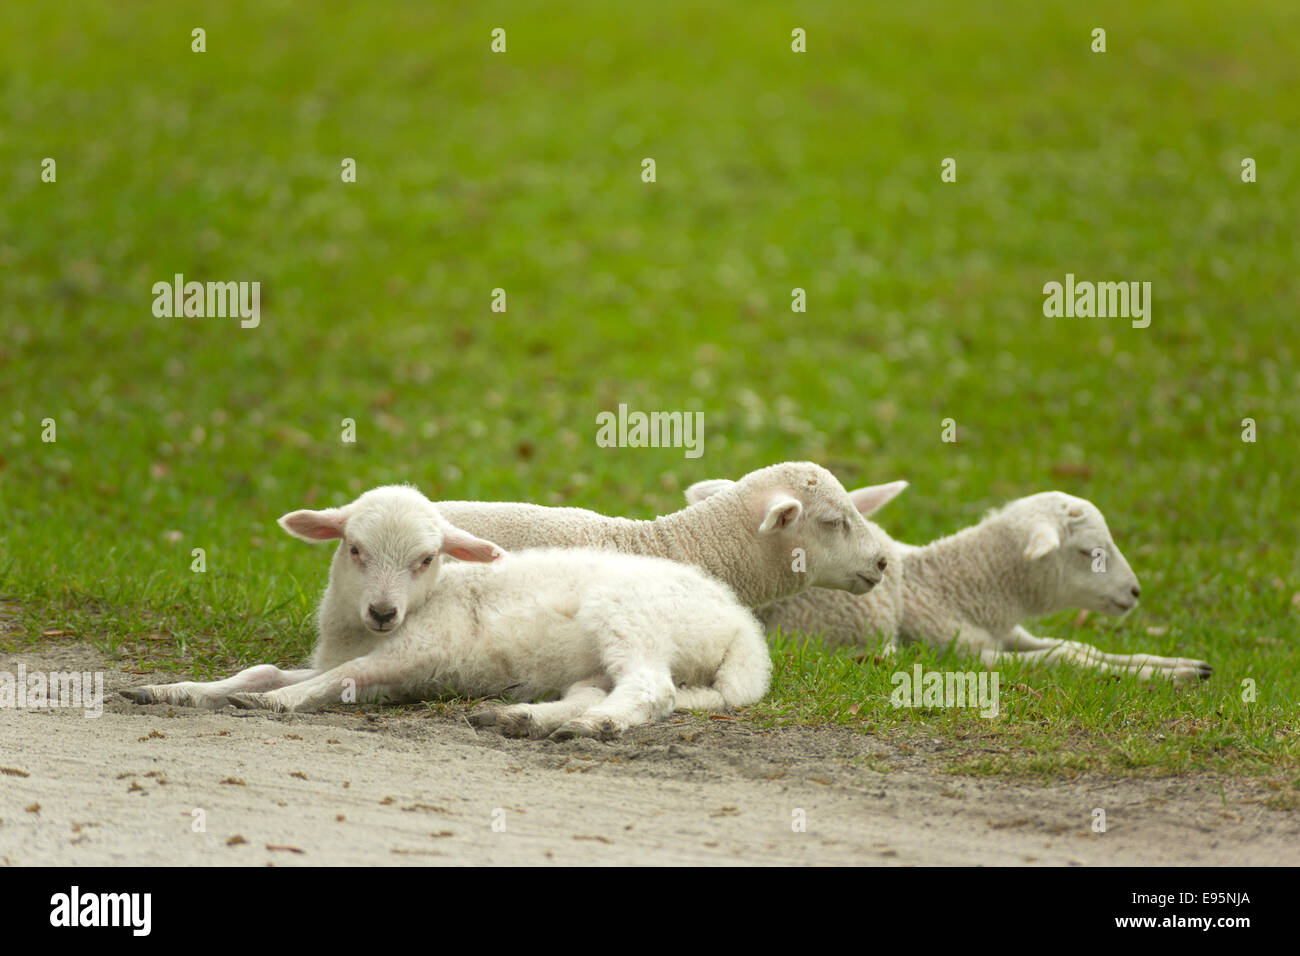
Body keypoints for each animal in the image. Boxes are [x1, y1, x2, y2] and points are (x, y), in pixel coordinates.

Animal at [122, 486, 769, 738]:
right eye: (353, 548)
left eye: (427, 558)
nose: (383, 611)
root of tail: (741, 625)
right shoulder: (371, 663)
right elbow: (265, 671)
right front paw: (174, 691)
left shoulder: (423, 650)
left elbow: (338, 677)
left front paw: (273, 704)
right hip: (597, 657)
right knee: (597, 689)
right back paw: (521, 718)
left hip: (634, 621)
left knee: (649, 690)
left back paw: (592, 727)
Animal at [712, 489, 1206, 686]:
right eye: (1088, 552)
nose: (1135, 593)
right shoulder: (957, 652)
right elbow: (1062, 659)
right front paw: (1168, 676)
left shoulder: (1009, 633)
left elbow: (1076, 647)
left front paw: (1180, 666)